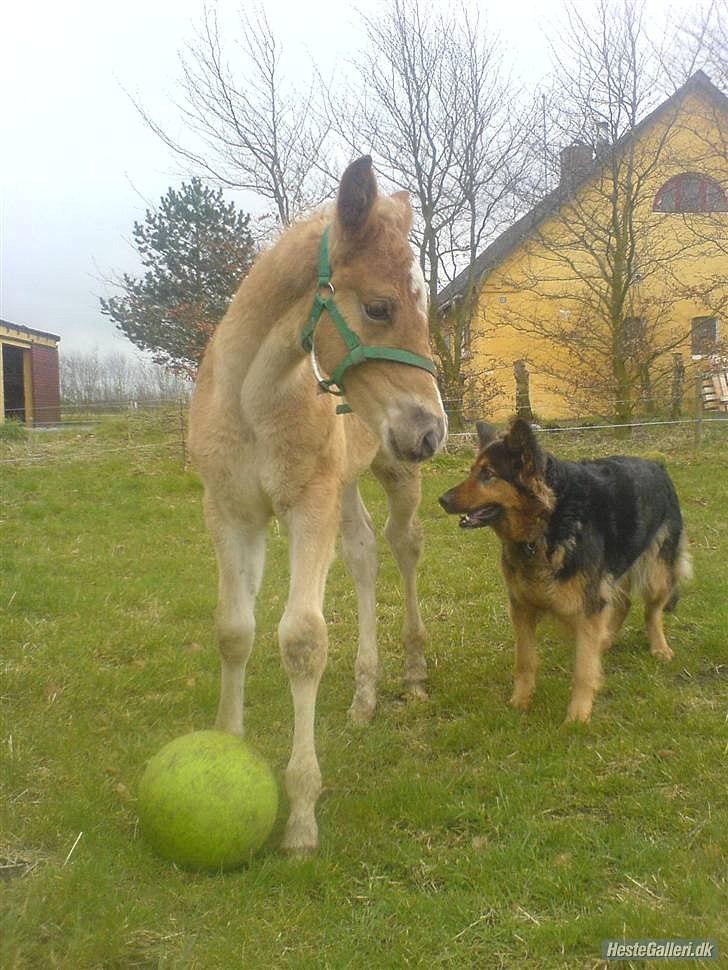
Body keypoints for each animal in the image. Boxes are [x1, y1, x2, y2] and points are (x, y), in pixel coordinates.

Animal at [188, 157, 446, 848]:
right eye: (380, 307)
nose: (431, 430)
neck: (252, 399)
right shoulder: (230, 513)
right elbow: (234, 629)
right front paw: (226, 745)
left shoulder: (308, 507)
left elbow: (302, 640)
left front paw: (302, 816)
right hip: (347, 482)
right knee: (362, 555)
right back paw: (363, 696)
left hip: (390, 473)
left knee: (403, 548)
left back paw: (412, 673)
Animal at [436, 420, 692, 724]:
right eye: (473, 471)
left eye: (487, 474)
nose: (442, 499)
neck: (547, 523)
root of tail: (657, 464)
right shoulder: (522, 609)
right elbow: (525, 661)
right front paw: (520, 702)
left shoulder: (588, 607)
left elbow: (583, 669)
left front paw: (578, 717)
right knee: (624, 604)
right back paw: (605, 641)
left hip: (656, 576)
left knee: (651, 612)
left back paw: (659, 648)